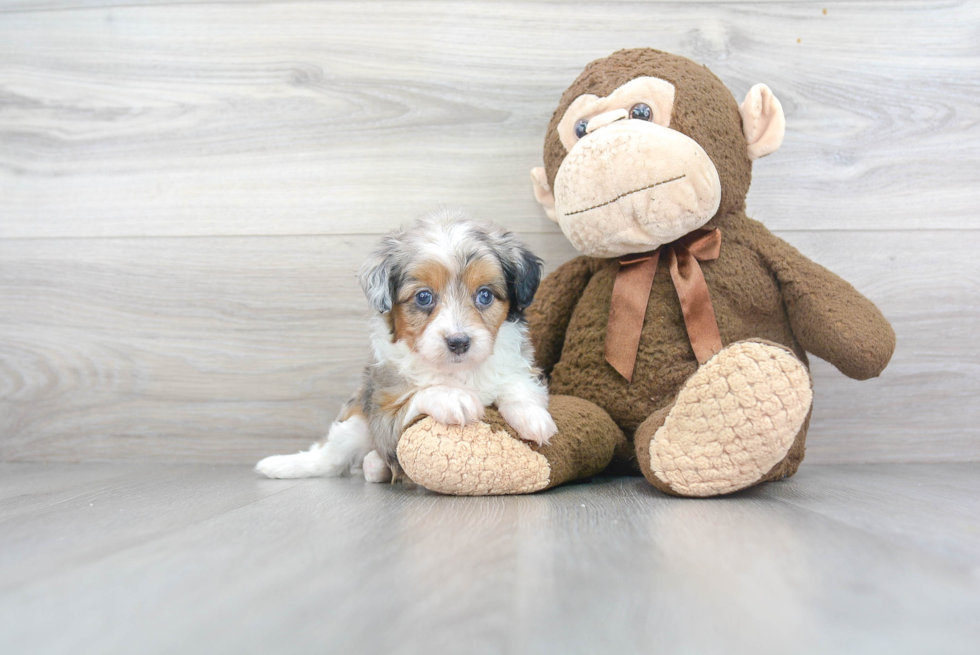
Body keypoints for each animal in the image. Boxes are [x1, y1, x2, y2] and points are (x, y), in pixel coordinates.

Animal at [256, 208, 556, 484]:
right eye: (423, 297)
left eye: (485, 295)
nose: (458, 342)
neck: (456, 371)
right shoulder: (383, 412)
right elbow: (415, 397)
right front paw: (453, 397)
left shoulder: (518, 368)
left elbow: (517, 386)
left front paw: (532, 416)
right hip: (355, 423)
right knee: (331, 457)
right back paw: (284, 465)